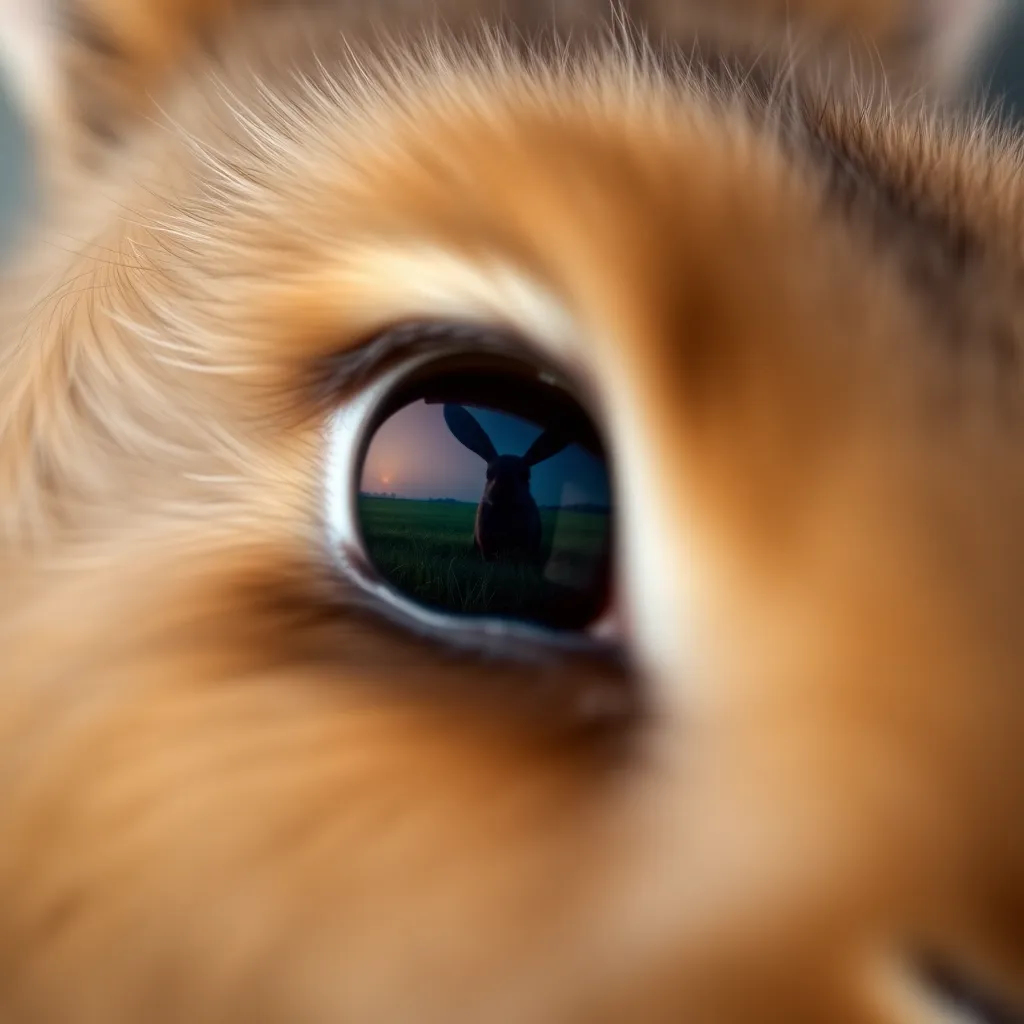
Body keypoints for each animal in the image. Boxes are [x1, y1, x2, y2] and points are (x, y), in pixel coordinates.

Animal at [443, 403, 568, 563]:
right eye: (488, 473)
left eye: (526, 475)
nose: (503, 491)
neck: (505, 510)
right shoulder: (485, 539)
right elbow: (487, 553)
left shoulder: (526, 541)